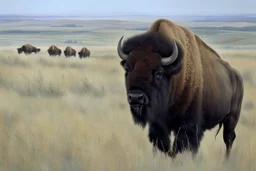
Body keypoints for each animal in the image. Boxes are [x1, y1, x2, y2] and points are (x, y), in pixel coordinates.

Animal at [116, 19, 244, 160]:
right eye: (127, 69)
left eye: (159, 72)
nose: (135, 97)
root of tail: (236, 76)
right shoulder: (158, 125)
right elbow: (162, 144)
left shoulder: (187, 125)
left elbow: (181, 146)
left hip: (232, 118)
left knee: (229, 139)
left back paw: (227, 160)